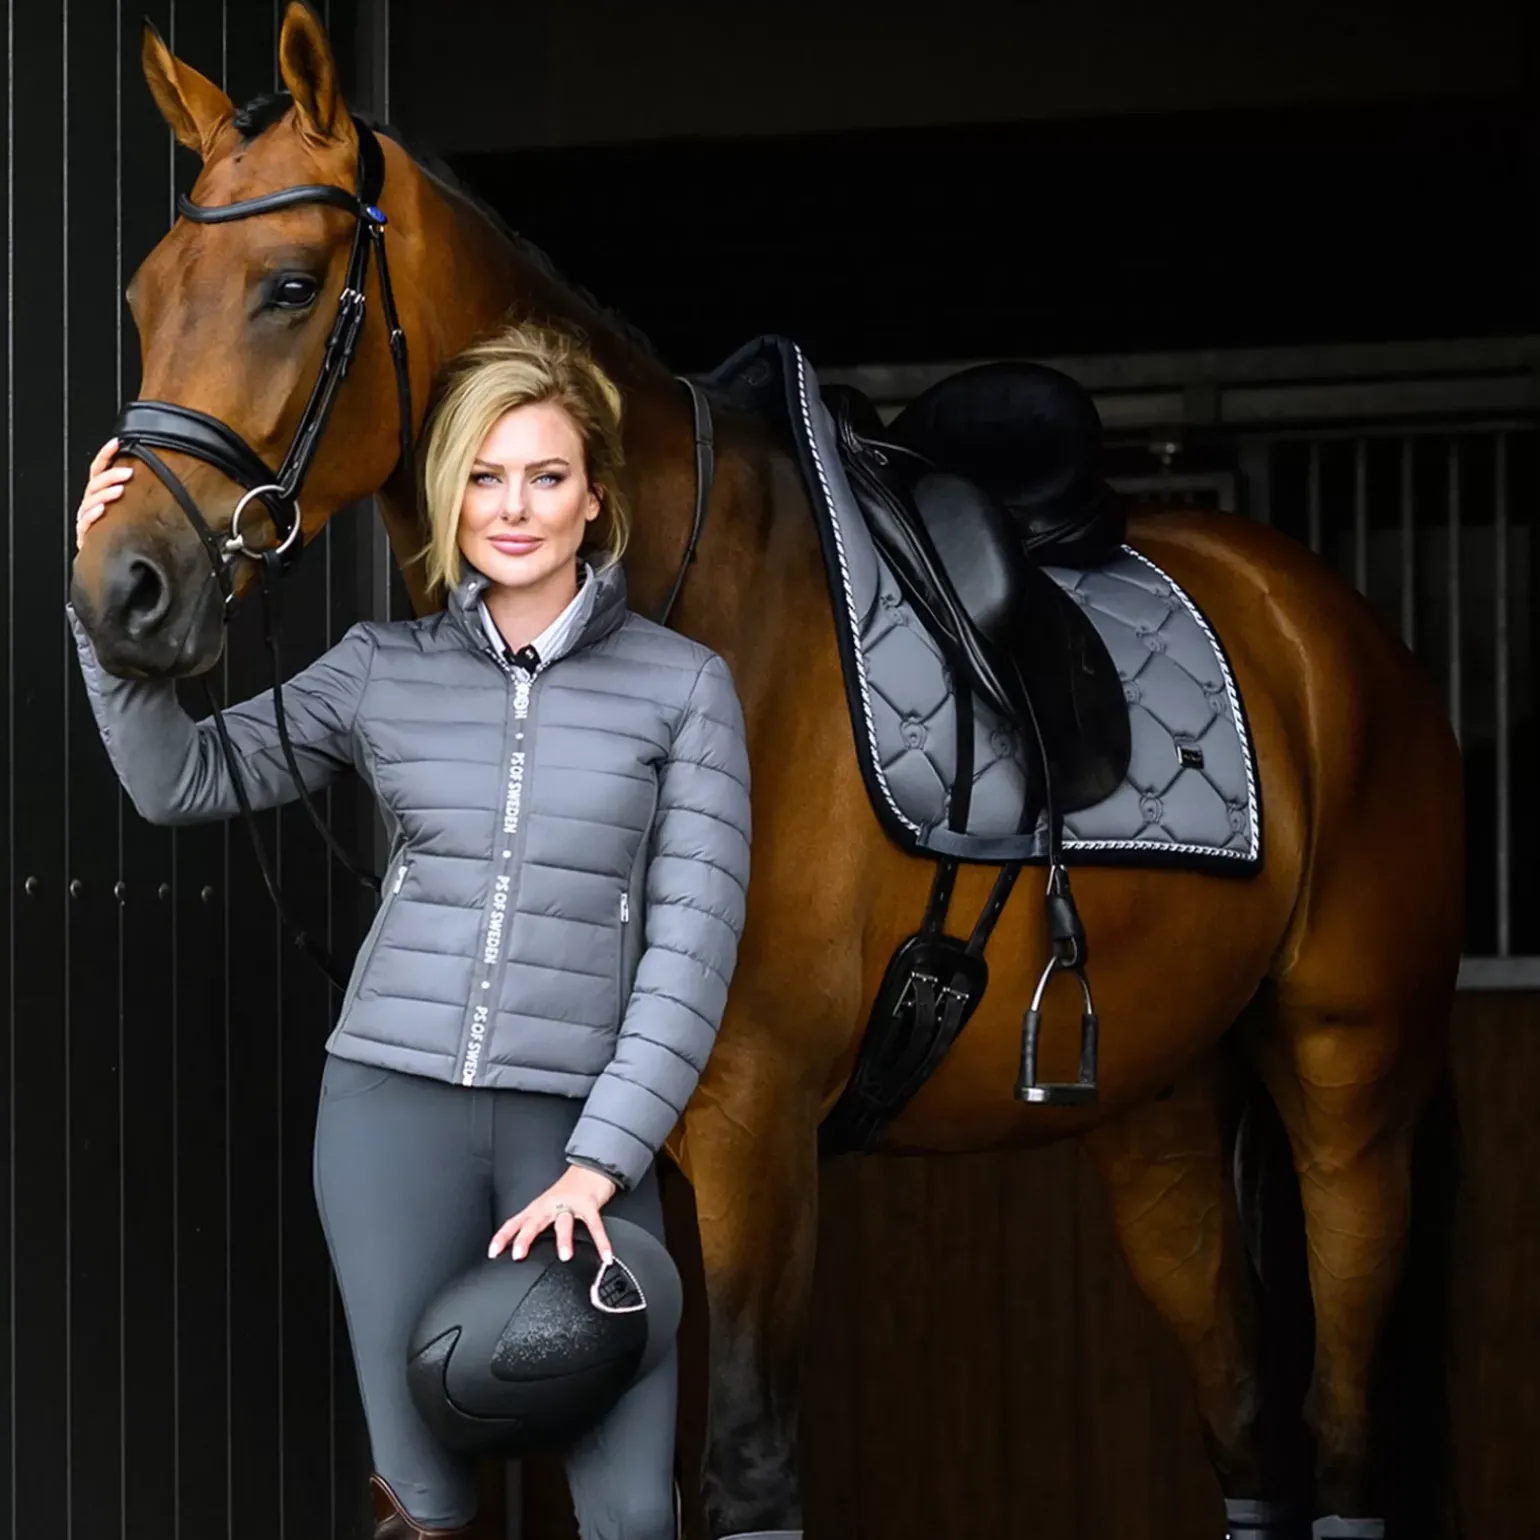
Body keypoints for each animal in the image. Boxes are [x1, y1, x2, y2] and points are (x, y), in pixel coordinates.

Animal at [67, 6, 1465, 1537]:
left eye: (291, 284)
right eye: (143, 294)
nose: (121, 590)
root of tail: (1334, 633)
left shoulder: (754, 1126)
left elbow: (744, 1464)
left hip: (1350, 1097)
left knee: (1338, 1423)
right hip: (1159, 1117)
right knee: (1245, 1424)